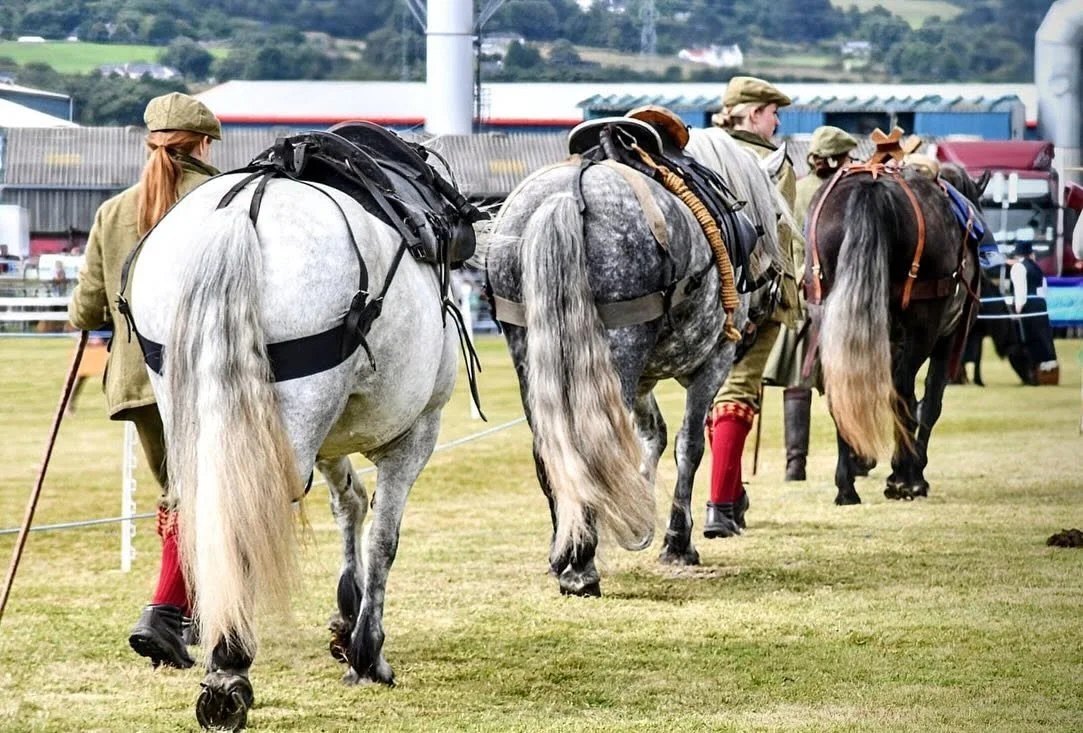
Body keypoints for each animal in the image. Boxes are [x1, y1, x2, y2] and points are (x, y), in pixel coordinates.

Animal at [128, 170, 462, 730]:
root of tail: (243, 207)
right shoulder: (416, 433)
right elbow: (383, 538)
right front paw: (367, 651)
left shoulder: (328, 440)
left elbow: (349, 504)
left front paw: (347, 615)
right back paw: (230, 667)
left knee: (198, 511)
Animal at [483, 126, 789, 596]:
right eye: (776, 217)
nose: (772, 292)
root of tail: (567, 194)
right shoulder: (711, 363)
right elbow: (688, 444)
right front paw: (676, 541)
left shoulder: (640, 379)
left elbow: (651, 436)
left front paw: (637, 512)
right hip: (619, 350)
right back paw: (582, 568)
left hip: (531, 353)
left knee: (551, 449)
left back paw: (565, 552)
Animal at [809, 160, 989, 504]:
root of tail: (873, 187)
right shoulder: (947, 339)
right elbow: (930, 402)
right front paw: (911, 473)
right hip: (924, 328)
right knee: (904, 391)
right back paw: (906, 478)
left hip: (829, 317)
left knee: (842, 389)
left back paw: (846, 486)